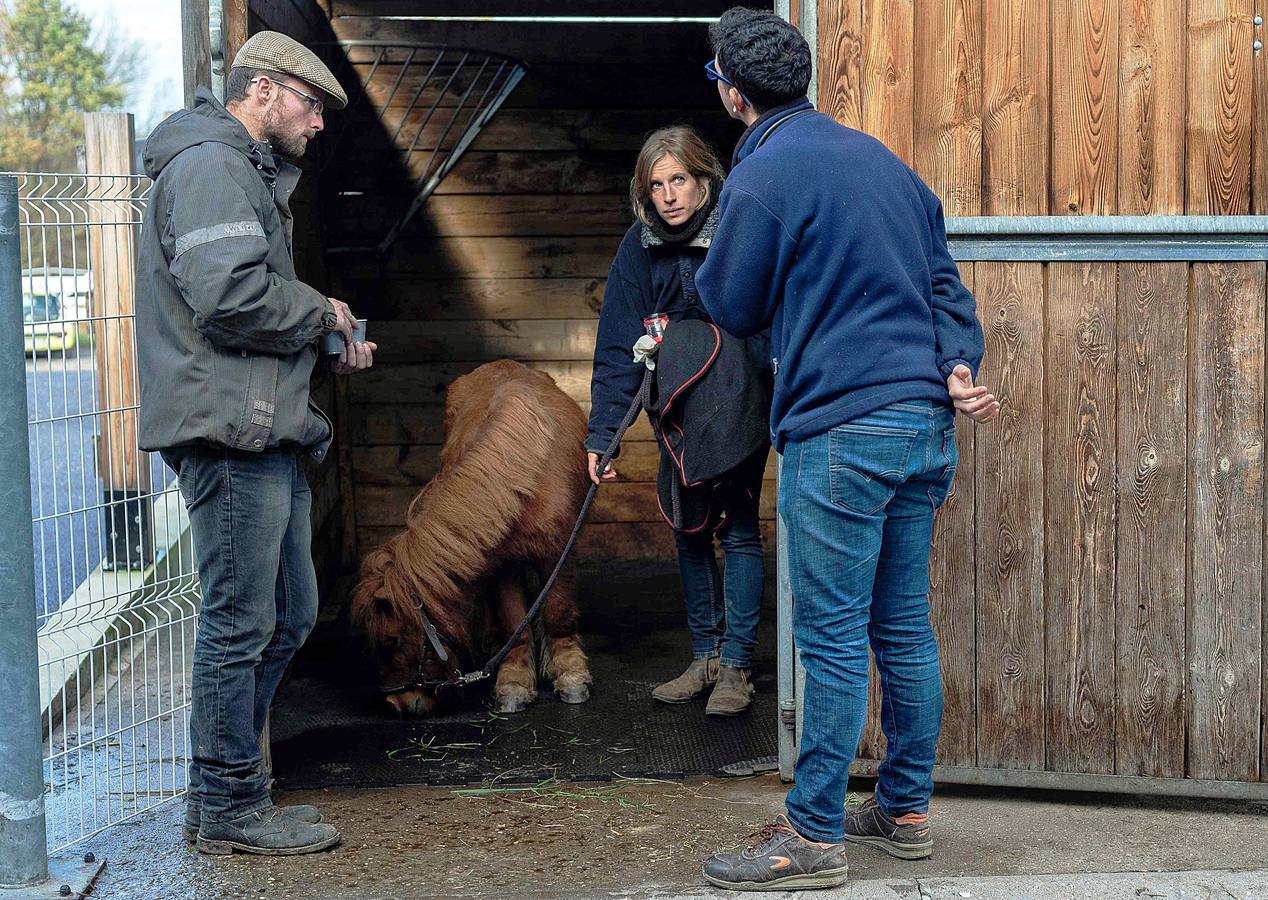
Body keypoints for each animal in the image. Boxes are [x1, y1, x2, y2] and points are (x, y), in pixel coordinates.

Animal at [352, 362, 593, 720]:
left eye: (390, 642)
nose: (398, 705)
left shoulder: (558, 552)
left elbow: (558, 612)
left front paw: (570, 674)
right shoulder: (502, 562)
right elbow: (513, 621)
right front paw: (514, 682)